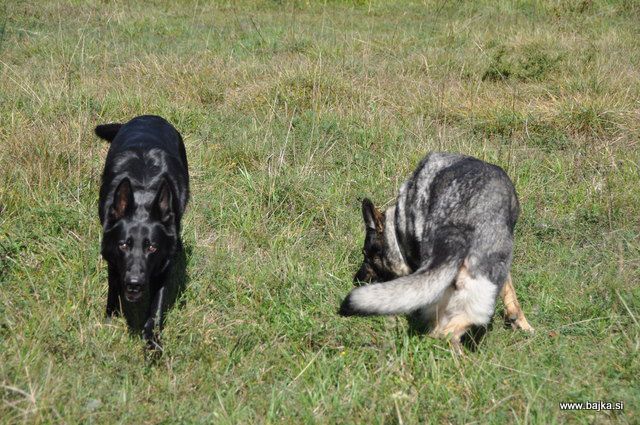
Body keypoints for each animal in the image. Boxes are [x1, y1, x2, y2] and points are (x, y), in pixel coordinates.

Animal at [95, 113, 189, 348]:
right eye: (123, 245)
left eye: (152, 248)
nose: (135, 284)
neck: (143, 194)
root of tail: (149, 116)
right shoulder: (113, 260)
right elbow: (113, 290)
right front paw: (110, 320)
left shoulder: (163, 267)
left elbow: (156, 309)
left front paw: (152, 343)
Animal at [340, 152, 536, 352]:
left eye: (367, 255)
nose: (356, 279)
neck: (396, 227)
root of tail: (458, 233)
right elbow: (510, 291)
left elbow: (511, 294)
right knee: (446, 333)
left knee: (443, 332)